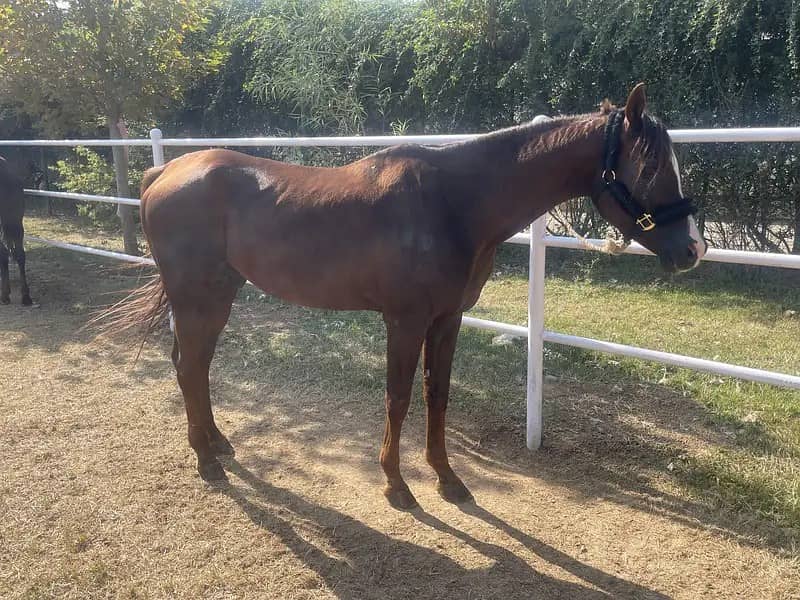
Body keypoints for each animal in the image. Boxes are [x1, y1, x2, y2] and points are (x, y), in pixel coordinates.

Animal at [115, 83, 706, 509]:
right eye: (651, 166)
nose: (694, 249)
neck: (453, 202)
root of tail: (165, 169)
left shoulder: (447, 319)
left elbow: (436, 395)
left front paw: (447, 479)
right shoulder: (404, 320)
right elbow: (397, 397)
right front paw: (396, 485)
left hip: (218, 295)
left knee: (196, 366)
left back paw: (216, 444)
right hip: (197, 297)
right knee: (189, 366)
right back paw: (207, 460)